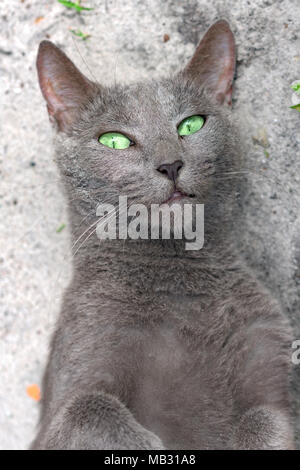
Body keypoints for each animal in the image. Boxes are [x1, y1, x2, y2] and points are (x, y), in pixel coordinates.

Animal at [31, 22, 294, 452]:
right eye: (115, 140)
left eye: (191, 124)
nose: (170, 164)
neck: (179, 280)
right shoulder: (76, 369)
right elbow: (86, 408)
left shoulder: (267, 346)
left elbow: (266, 417)